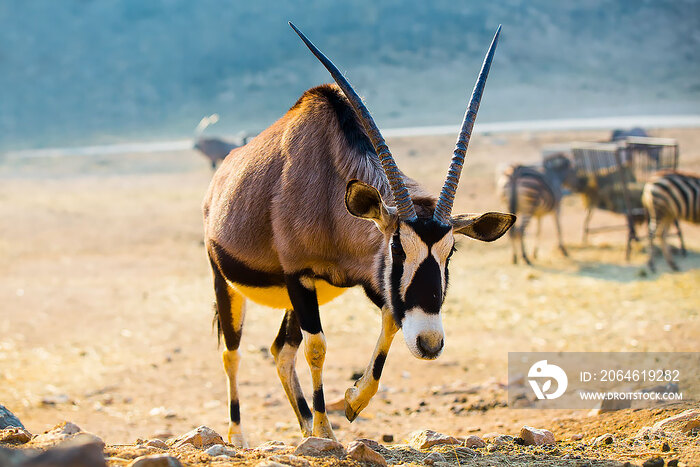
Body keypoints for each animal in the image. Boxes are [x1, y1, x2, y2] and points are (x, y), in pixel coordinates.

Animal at [202, 22, 516, 446]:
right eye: (397, 248)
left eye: (450, 252)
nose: (430, 343)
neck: (328, 193)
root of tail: (219, 178)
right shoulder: (299, 275)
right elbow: (317, 347)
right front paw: (325, 429)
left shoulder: (369, 281)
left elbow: (389, 320)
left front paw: (351, 403)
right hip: (228, 283)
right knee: (232, 353)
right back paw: (239, 435)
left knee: (280, 350)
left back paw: (305, 424)